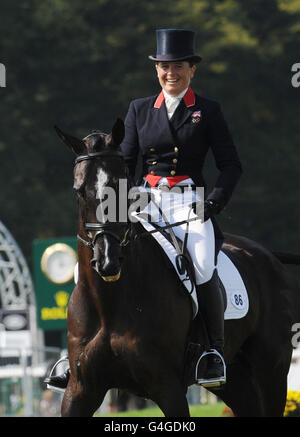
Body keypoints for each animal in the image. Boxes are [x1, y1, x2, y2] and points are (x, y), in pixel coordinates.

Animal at [55, 118, 298, 416]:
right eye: (79, 190)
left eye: (122, 187)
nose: (107, 259)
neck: (110, 305)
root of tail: (267, 255)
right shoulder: (80, 391)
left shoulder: (168, 388)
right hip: (236, 379)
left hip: (271, 370)